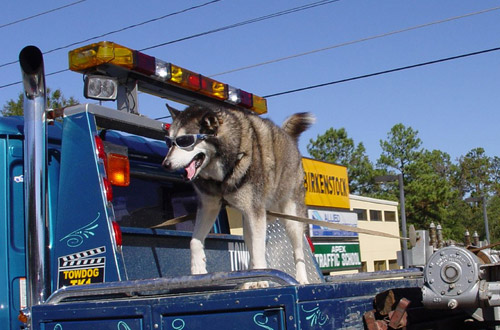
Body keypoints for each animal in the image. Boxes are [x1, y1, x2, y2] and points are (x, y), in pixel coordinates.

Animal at [162, 104, 314, 286]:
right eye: (169, 142)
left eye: (184, 141)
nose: (165, 164)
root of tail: (286, 135)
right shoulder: (209, 206)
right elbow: (194, 241)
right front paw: (198, 268)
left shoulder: (255, 212)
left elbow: (259, 249)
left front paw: (262, 278)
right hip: (249, 222)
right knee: (251, 246)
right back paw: (248, 280)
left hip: (291, 218)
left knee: (297, 251)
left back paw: (301, 278)